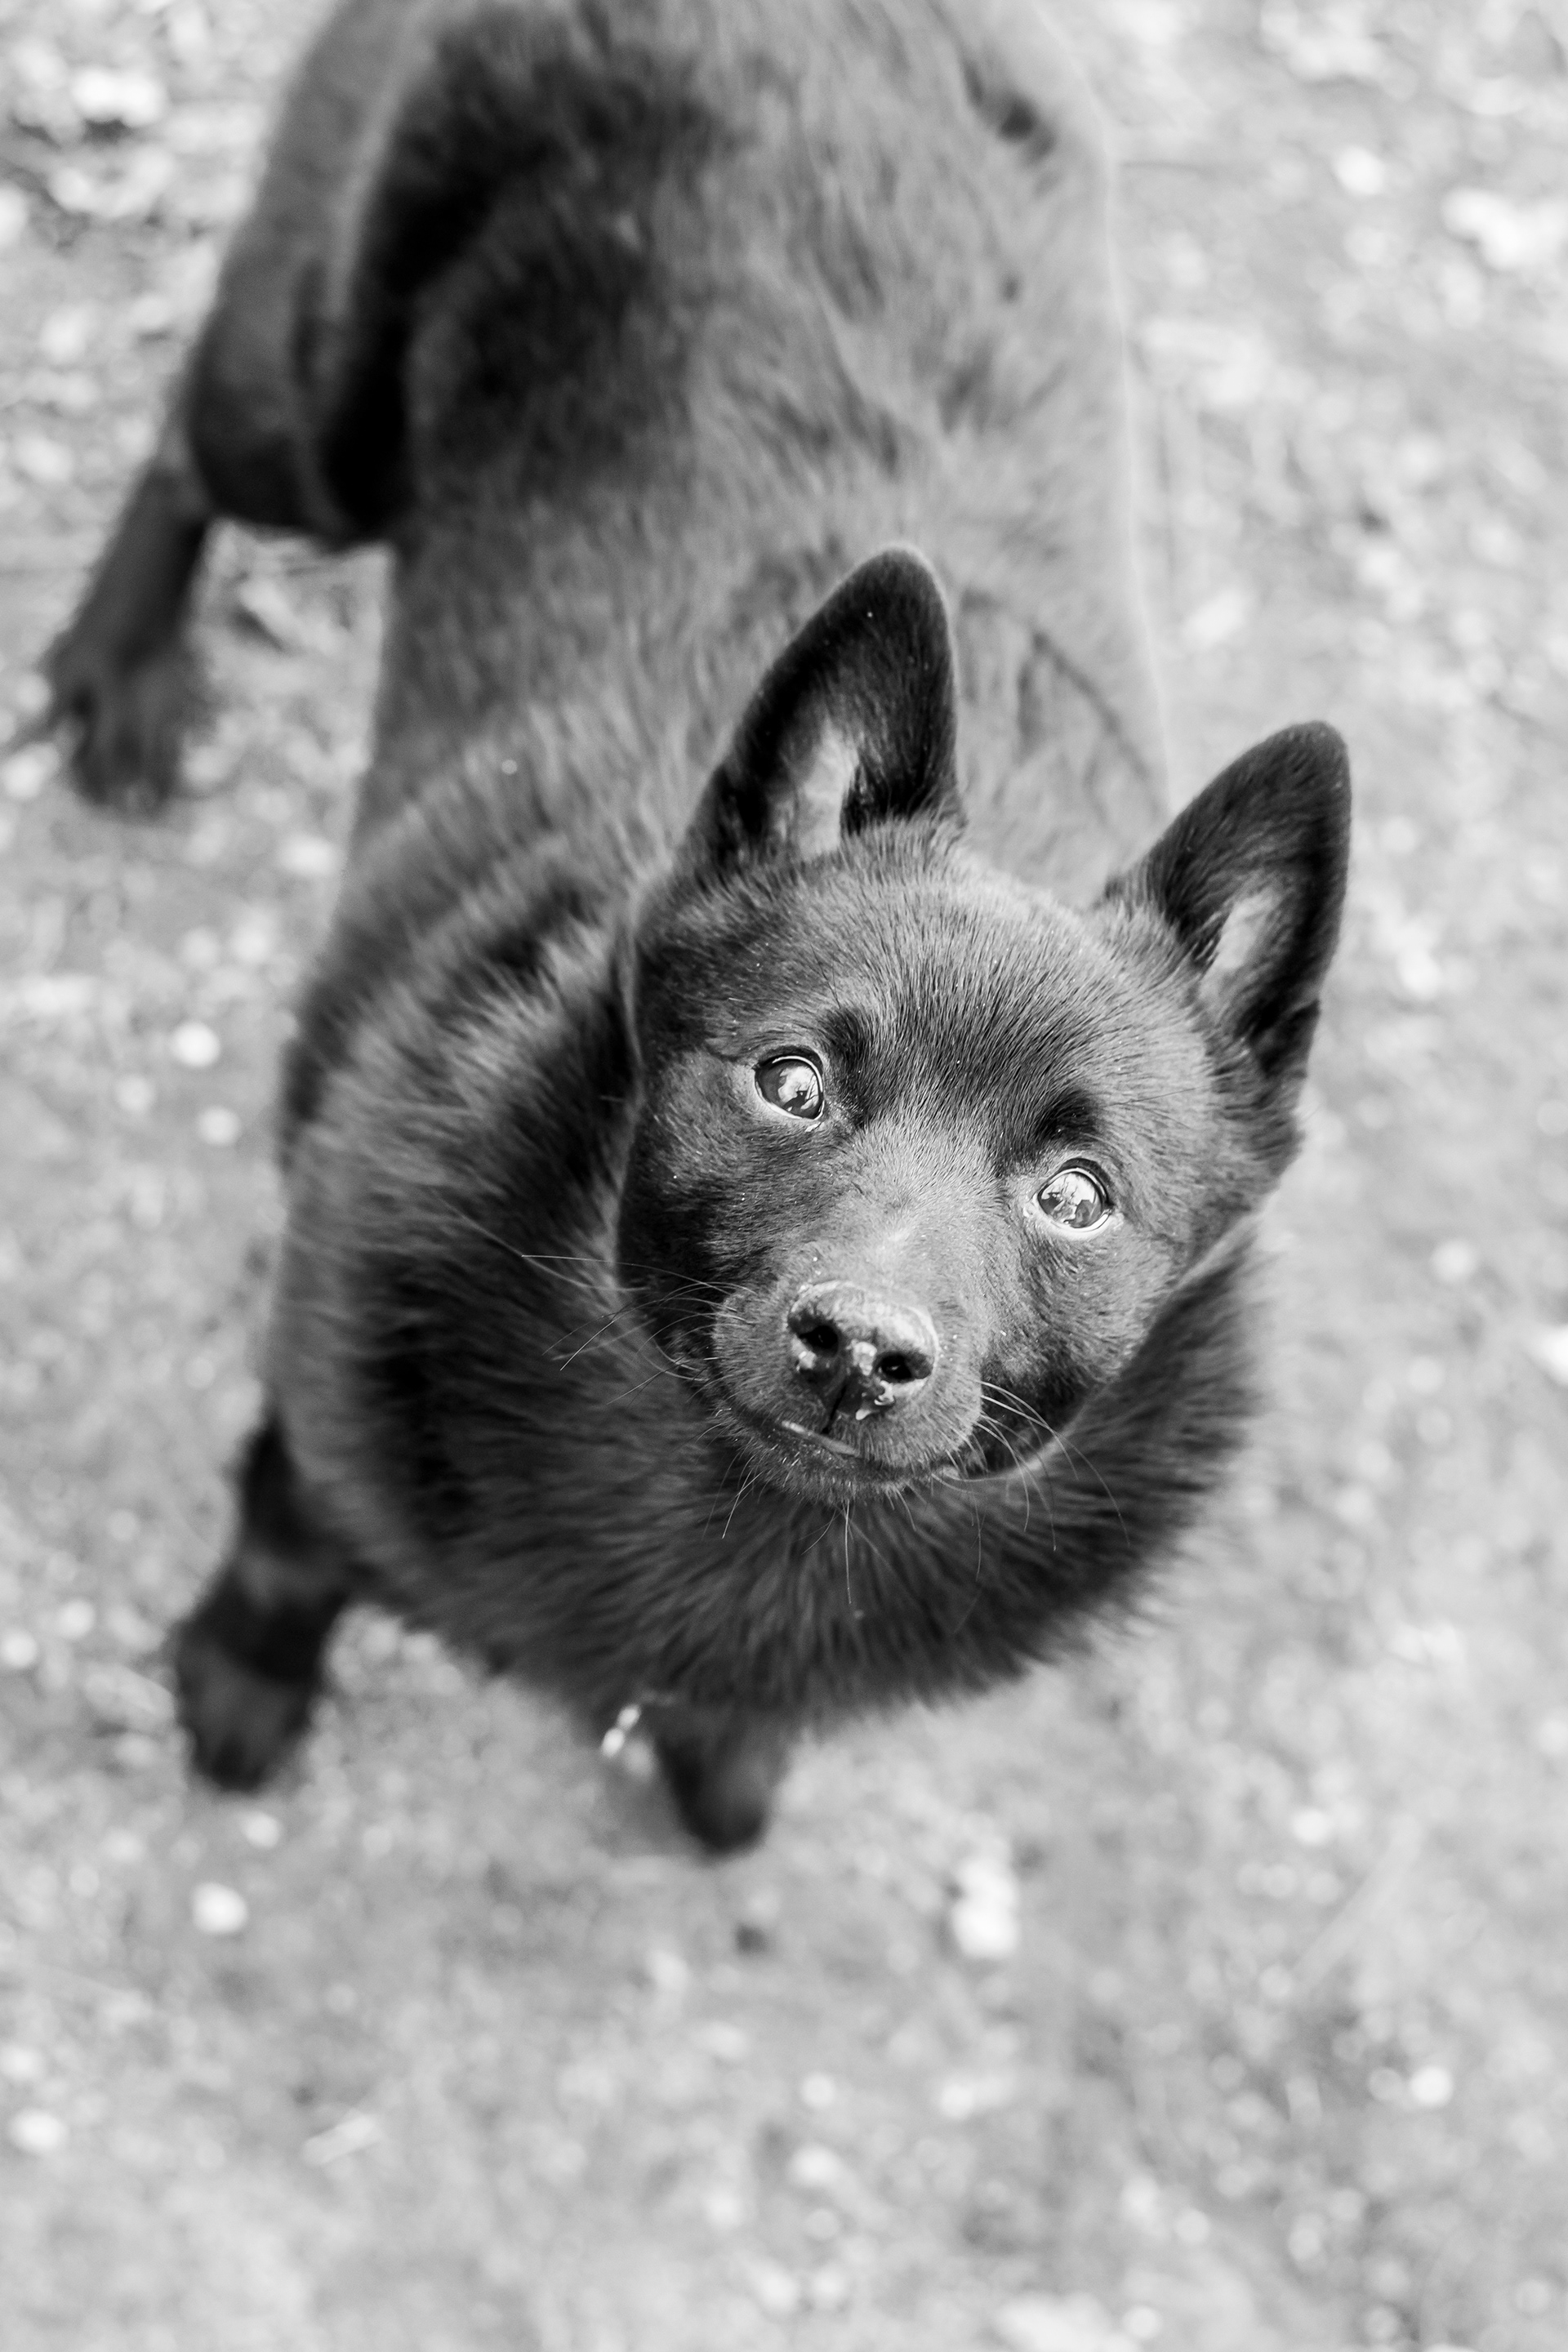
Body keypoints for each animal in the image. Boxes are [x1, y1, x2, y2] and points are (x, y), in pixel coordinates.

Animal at [44, 0, 1349, 1852]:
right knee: (186, 436)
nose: (861, 1350)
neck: (737, 1498)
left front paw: (725, 1767)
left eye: (1080, 1197)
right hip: (316, 422)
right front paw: (244, 1679)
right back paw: (122, 672)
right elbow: (289, 1541)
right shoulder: (321, 1411)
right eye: (790, 1082)